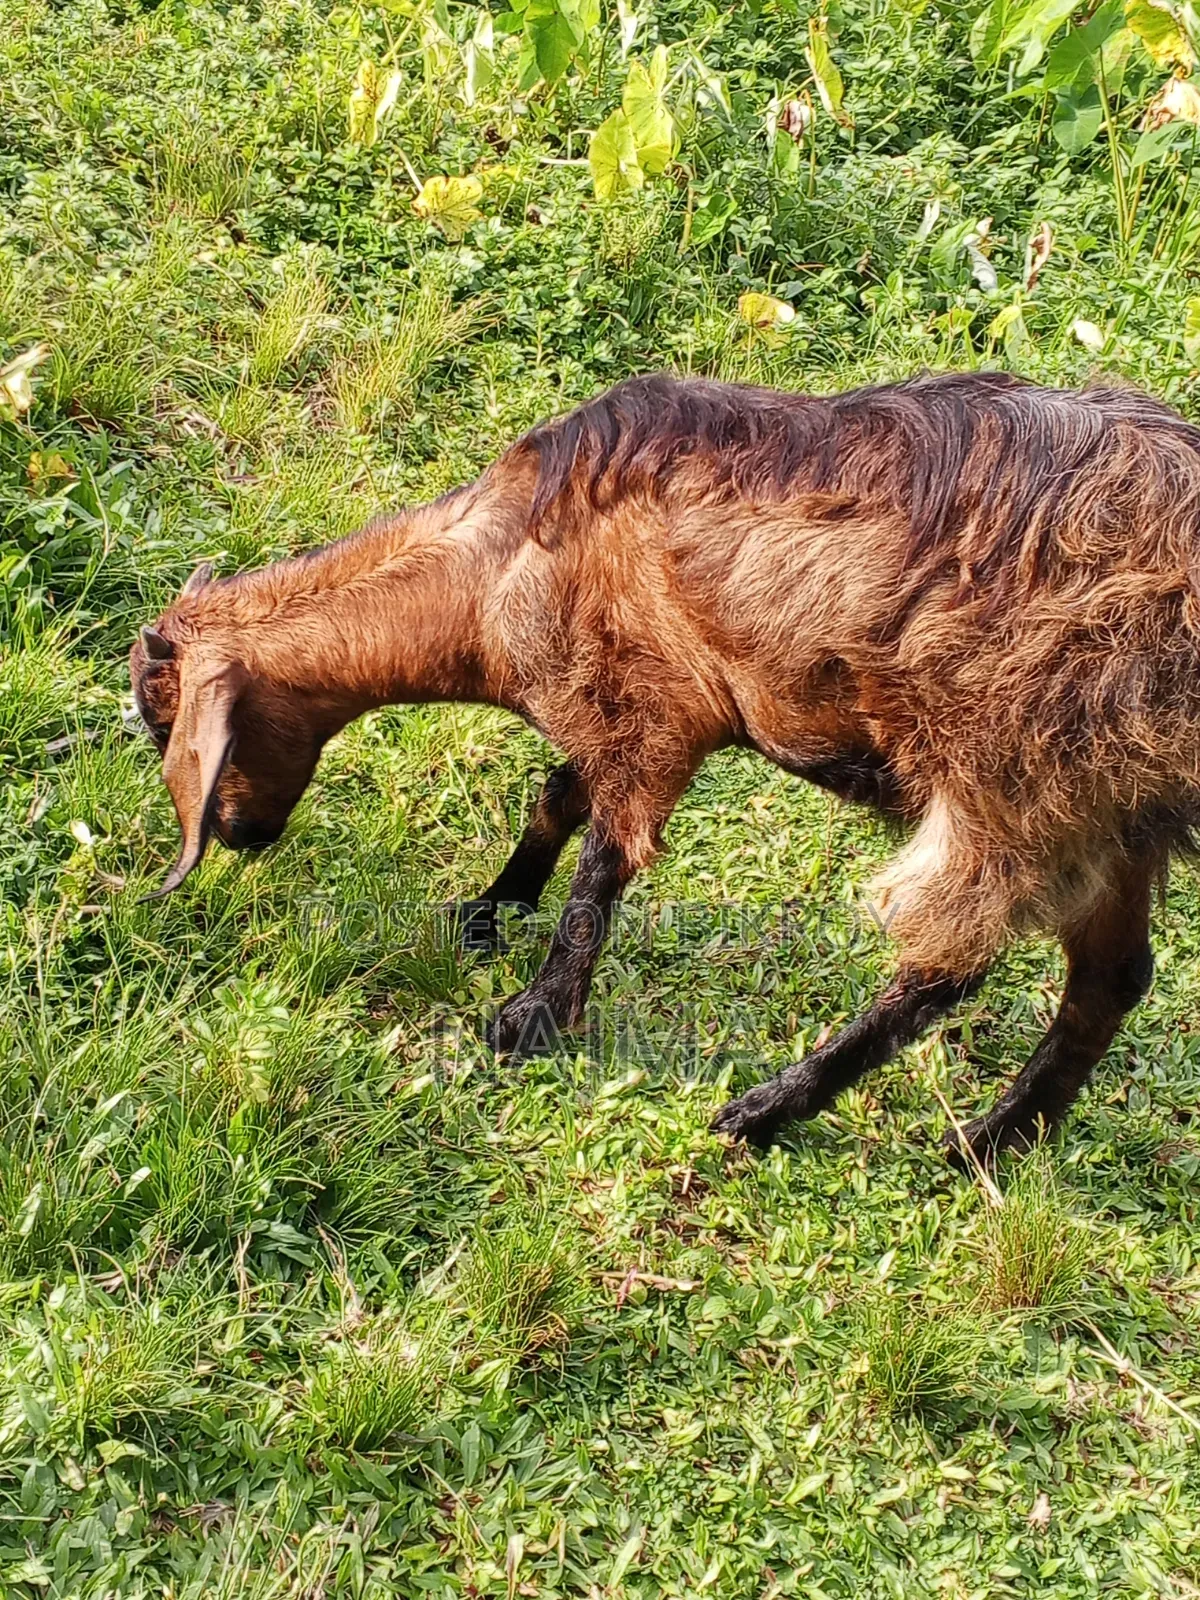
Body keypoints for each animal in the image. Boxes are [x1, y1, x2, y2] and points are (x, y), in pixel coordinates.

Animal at [131, 370, 1200, 1165]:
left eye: (165, 724)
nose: (240, 834)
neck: (503, 562)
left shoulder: (655, 710)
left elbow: (603, 861)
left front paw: (532, 1017)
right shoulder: (610, 713)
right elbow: (557, 798)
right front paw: (490, 909)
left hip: (1019, 774)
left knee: (949, 964)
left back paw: (766, 1112)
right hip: (1113, 809)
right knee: (1113, 979)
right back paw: (996, 1141)